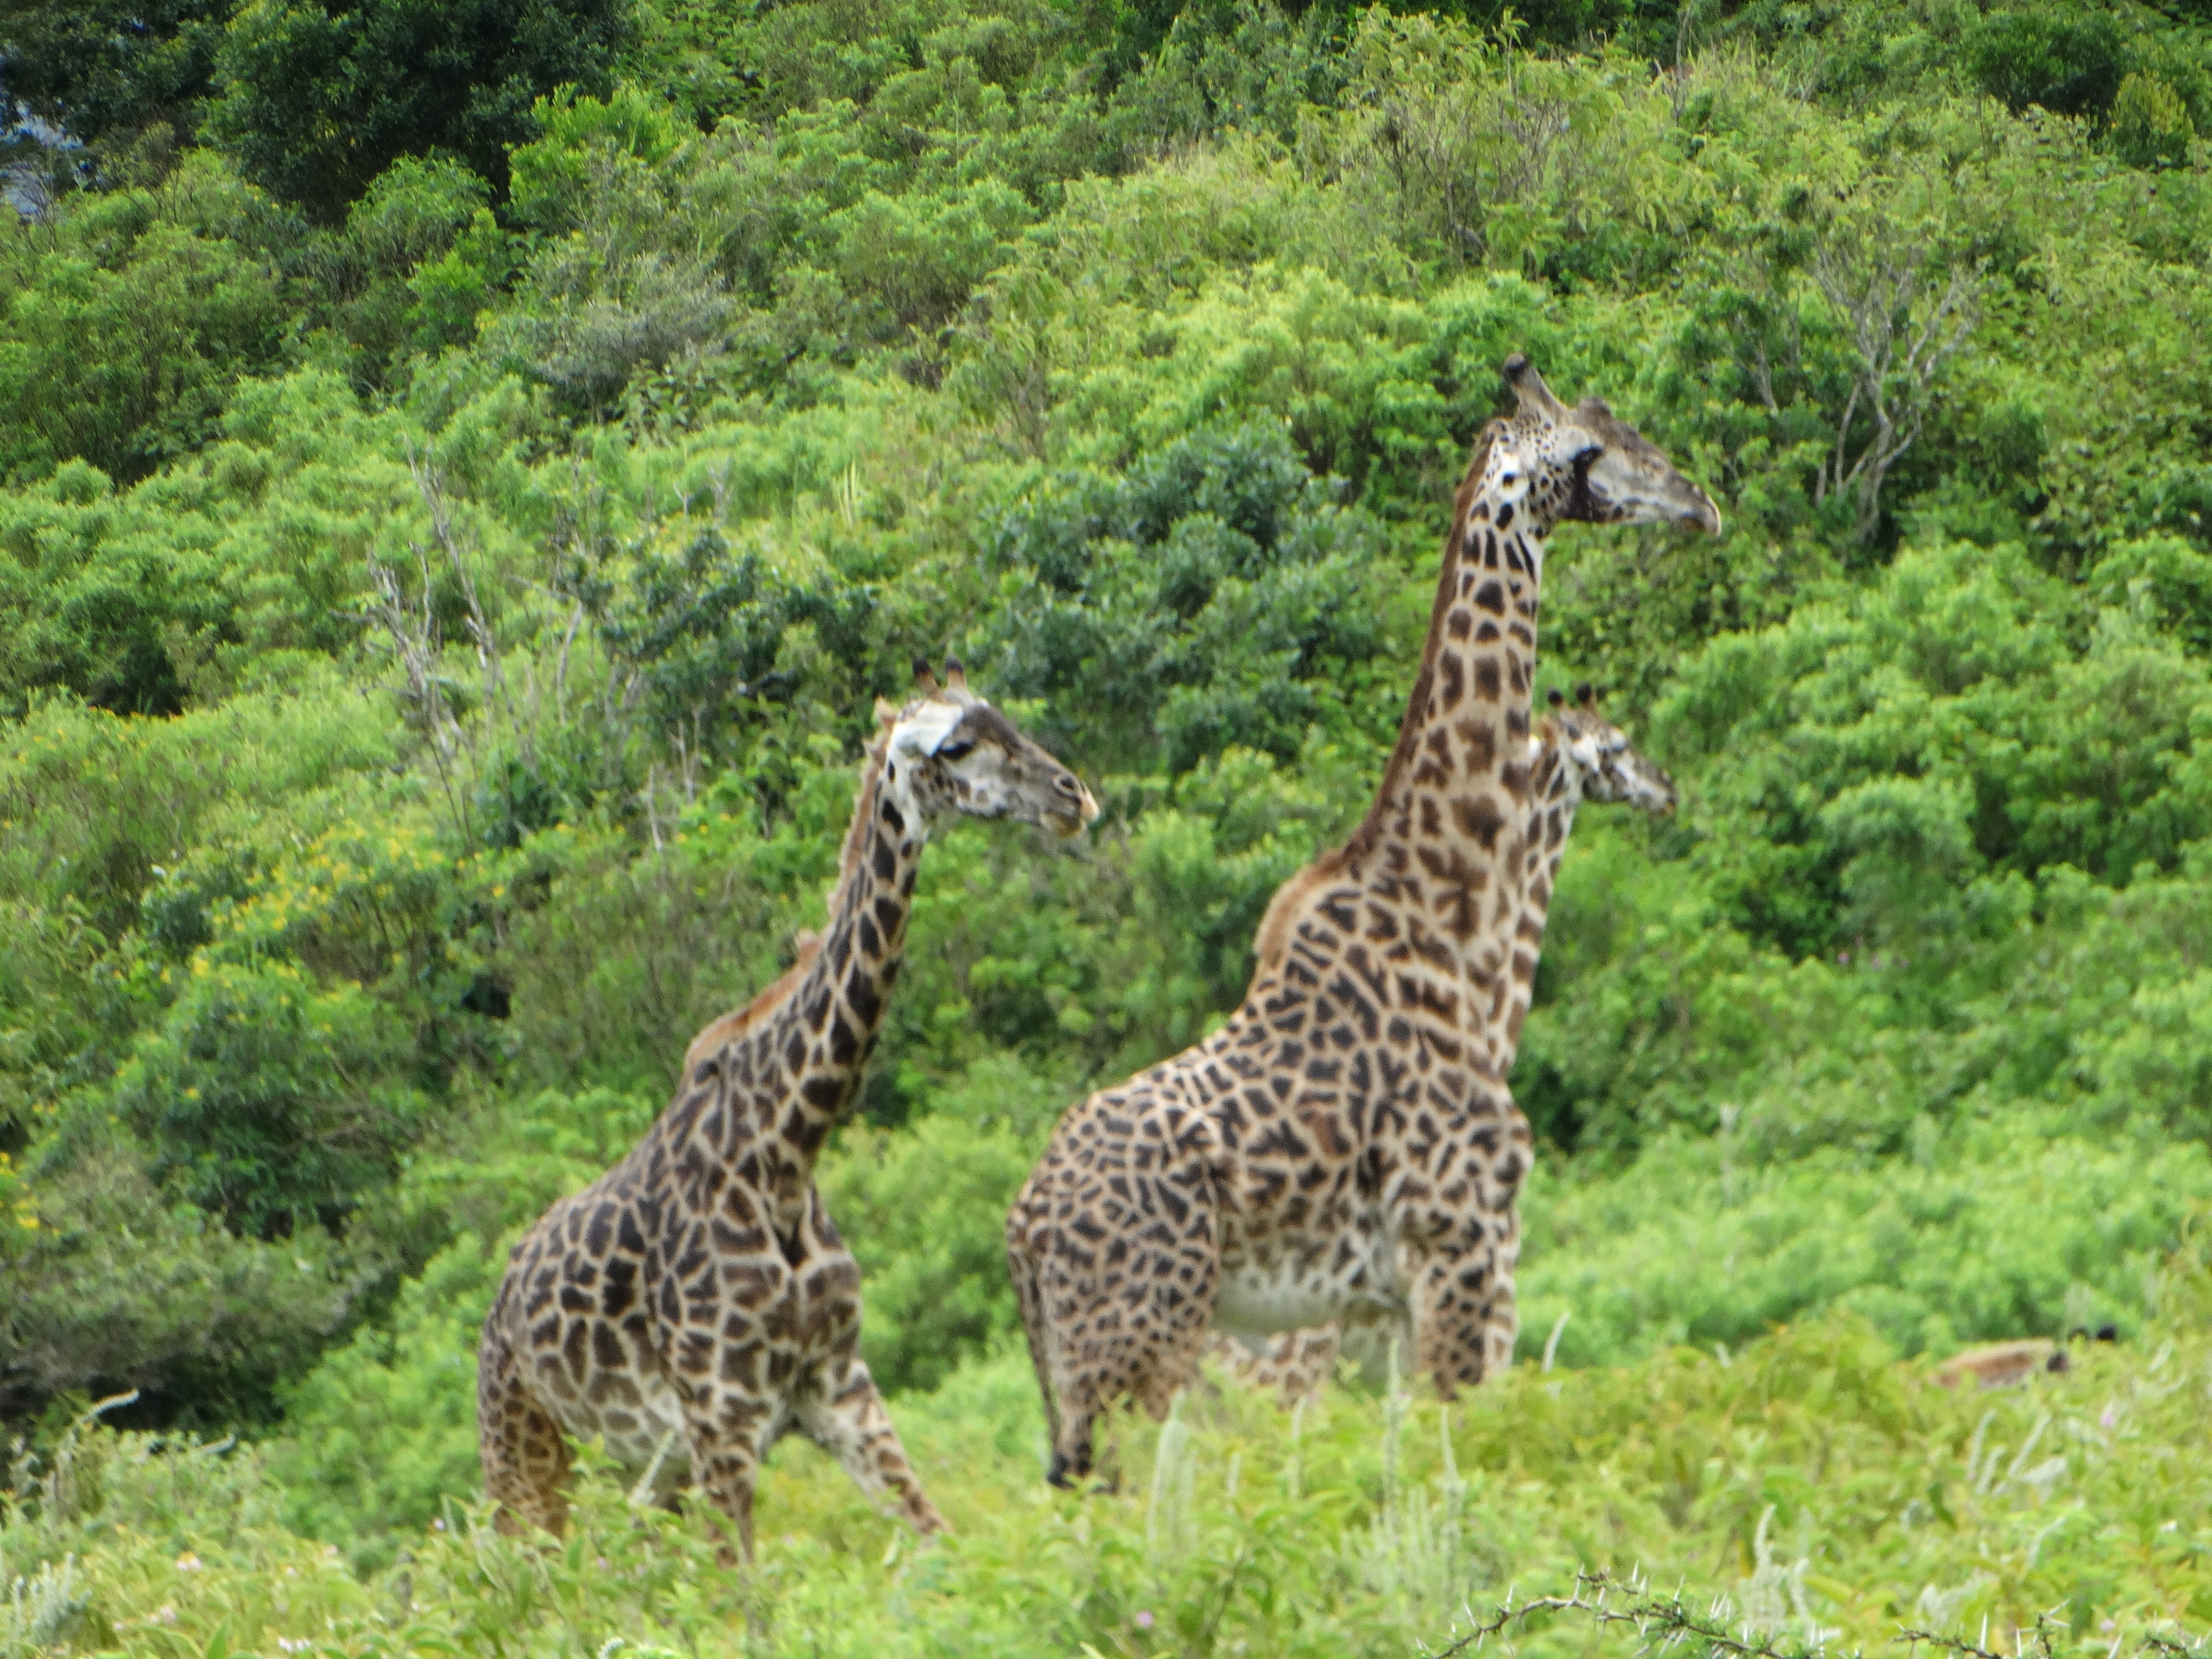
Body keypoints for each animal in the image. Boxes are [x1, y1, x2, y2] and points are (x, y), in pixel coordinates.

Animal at [479, 659, 1097, 1555]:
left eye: (1004, 717)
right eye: (955, 745)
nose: (1071, 796)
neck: (785, 1151)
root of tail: (496, 1315)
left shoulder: (839, 1389)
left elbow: (941, 1542)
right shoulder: (722, 1423)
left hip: (644, 1474)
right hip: (525, 1456)